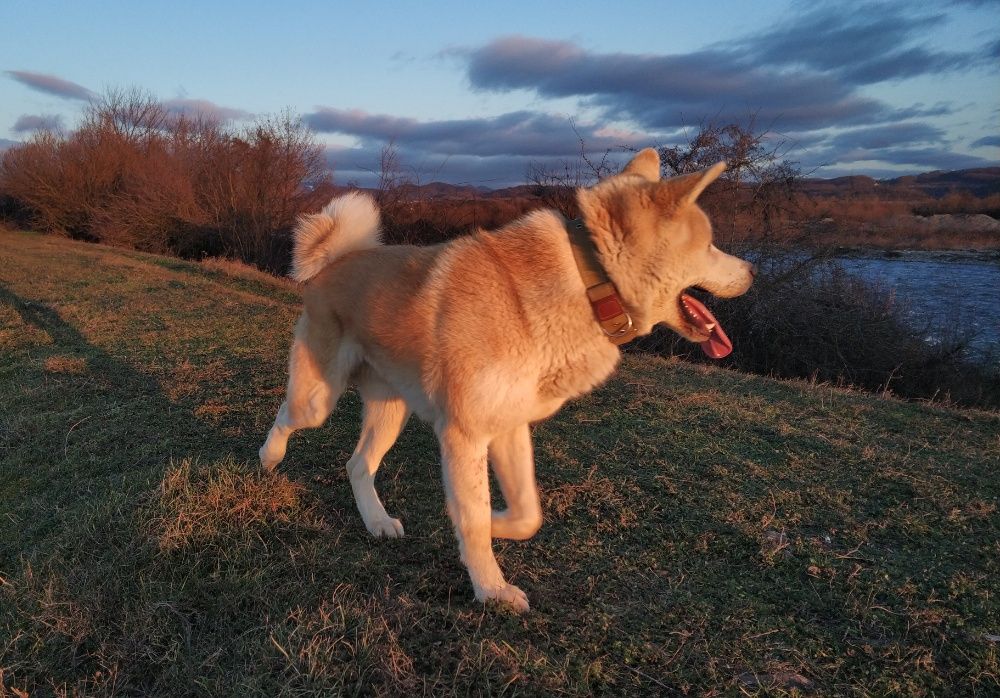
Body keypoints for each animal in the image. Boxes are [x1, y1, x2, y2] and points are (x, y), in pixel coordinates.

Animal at [262, 148, 752, 608]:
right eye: (710, 244)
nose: (753, 271)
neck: (587, 281)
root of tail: (335, 259)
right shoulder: (465, 434)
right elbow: (475, 514)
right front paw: (491, 589)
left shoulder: (507, 426)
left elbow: (525, 513)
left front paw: (493, 526)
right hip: (318, 399)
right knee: (288, 414)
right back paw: (269, 457)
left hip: (390, 412)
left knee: (358, 465)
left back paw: (378, 521)